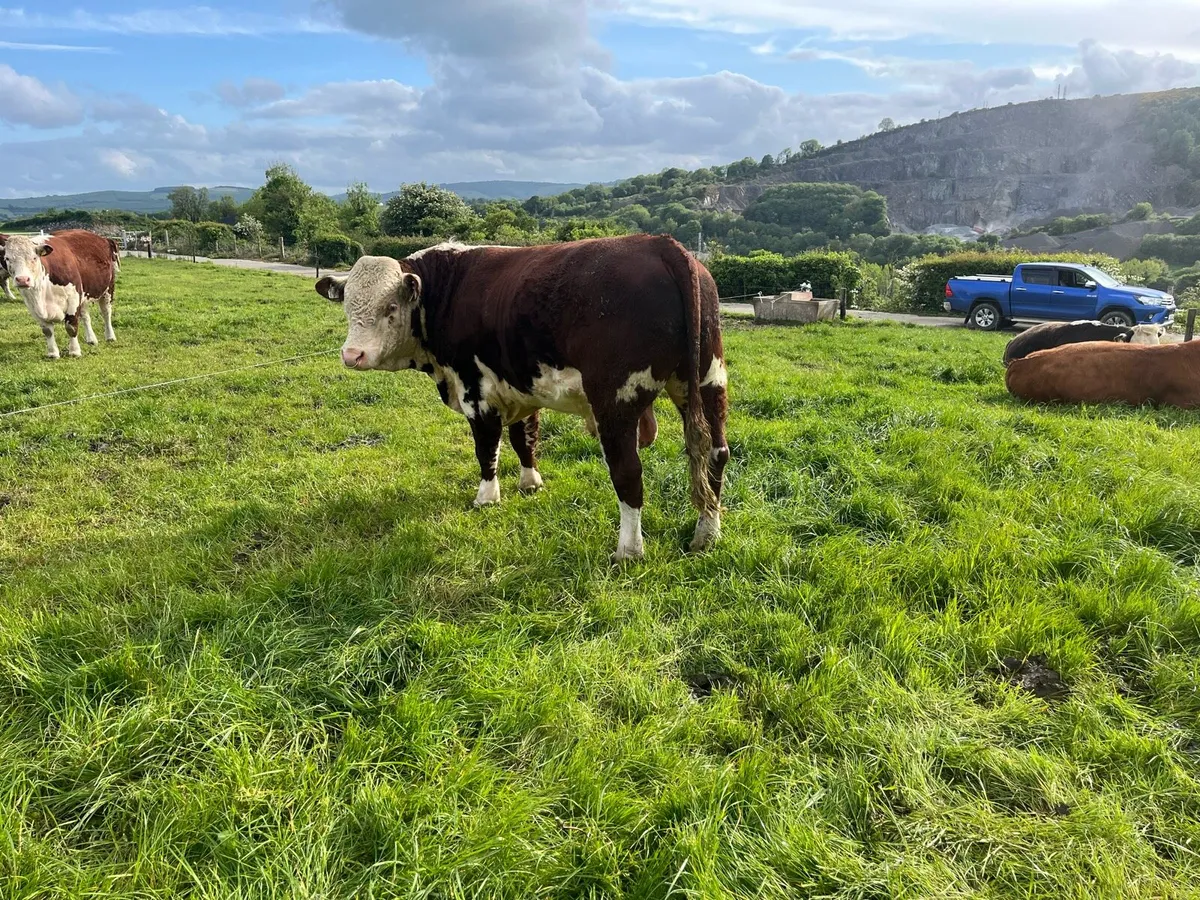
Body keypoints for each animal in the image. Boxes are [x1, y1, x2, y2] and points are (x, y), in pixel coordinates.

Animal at [0, 230, 120, 359]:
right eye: (7, 258)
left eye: (34, 257)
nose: (22, 280)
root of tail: (103, 238)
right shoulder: (32, 305)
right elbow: (47, 331)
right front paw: (53, 353)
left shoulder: (73, 298)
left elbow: (71, 326)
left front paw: (74, 351)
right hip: (83, 294)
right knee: (85, 316)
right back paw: (91, 339)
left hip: (108, 289)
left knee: (106, 313)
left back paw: (110, 336)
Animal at [315, 234, 729, 561]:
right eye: (348, 306)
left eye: (390, 307)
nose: (352, 355)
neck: (445, 291)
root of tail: (661, 244)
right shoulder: (521, 385)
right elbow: (524, 437)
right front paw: (530, 482)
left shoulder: (475, 389)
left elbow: (487, 448)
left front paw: (487, 496)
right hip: (708, 380)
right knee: (715, 454)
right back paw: (707, 533)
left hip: (615, 398)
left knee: (628, 471)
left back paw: (629, 550)